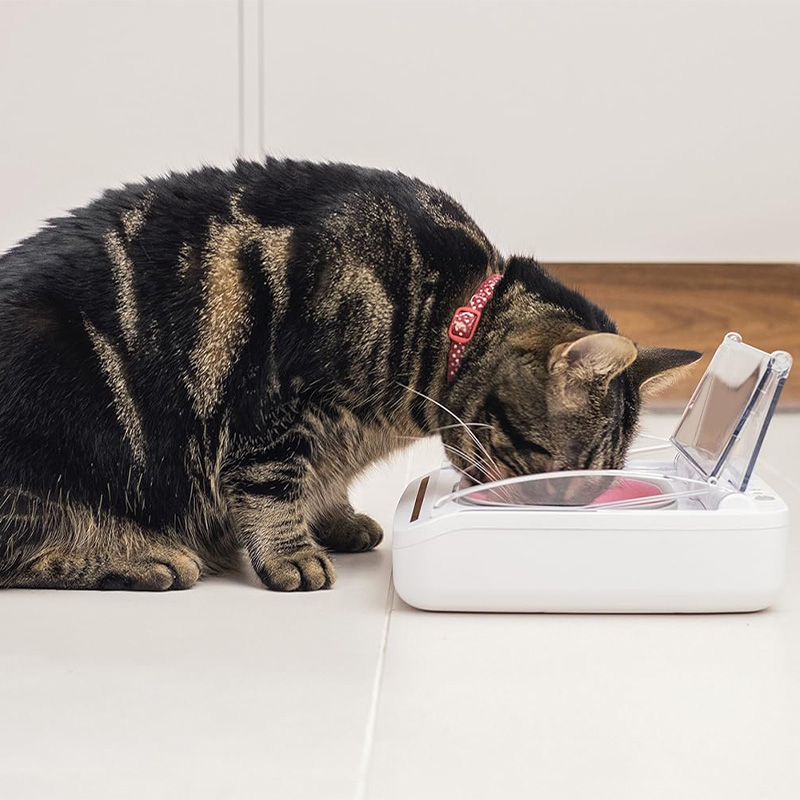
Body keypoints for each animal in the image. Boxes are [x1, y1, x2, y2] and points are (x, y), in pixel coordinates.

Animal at [0, 158, 700, 592]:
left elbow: (323, 480)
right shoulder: (273, 403)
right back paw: (145, 558)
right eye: (552, 471)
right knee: (24, 550)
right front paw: (292, 555)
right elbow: (271, 488)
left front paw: (335, 521)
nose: (546, 517)